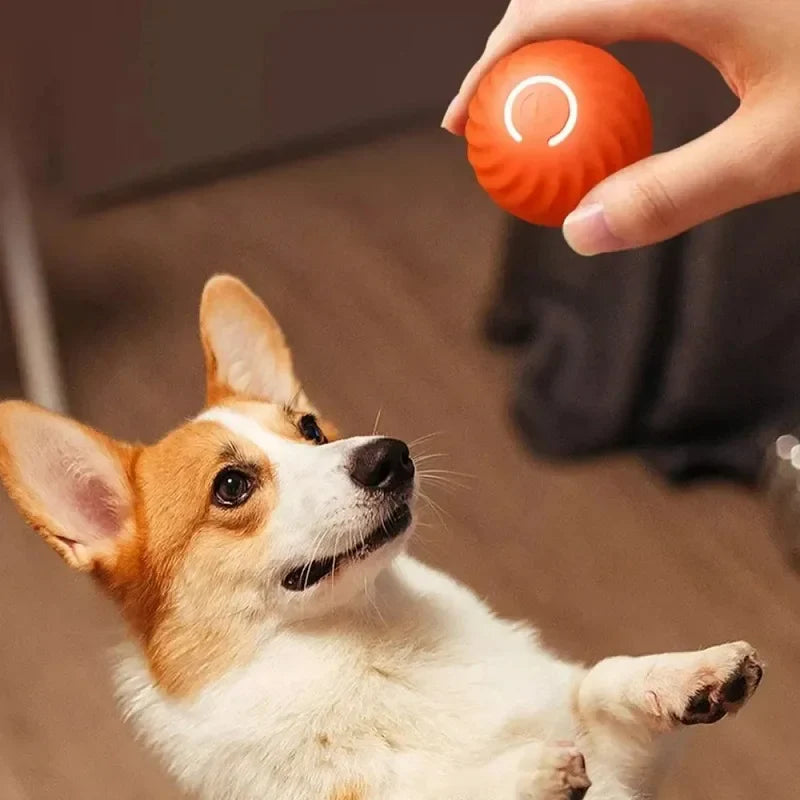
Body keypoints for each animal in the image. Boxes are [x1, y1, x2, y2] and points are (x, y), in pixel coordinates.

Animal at [0, 276, 764, 800]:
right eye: (232, 487)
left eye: (310, 428)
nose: (391, 456)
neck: (372, 642)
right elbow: (444, 792)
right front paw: (524, 771)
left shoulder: (619, 759)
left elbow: (602, 680)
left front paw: (696, 674)